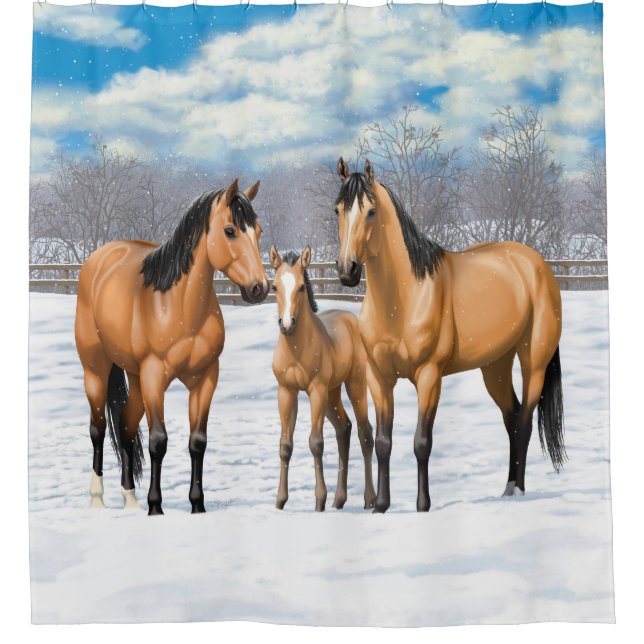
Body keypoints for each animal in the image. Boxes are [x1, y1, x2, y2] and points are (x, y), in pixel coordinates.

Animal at [75, 179, 269, 515]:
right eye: (230, 230)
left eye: (257, 231)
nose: (260, 288)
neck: (177, 306)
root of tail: (98, 258)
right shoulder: (154, 377)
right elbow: (158, 441)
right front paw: (156, 507)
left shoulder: (205, 378)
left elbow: (197, 442)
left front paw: (198, 505)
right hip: (96, 370)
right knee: (98, 429)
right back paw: (98, 498)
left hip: (135, 378)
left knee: (125, 427)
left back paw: (130, 498)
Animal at [269, 245, 376, 512]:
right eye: (274, 286)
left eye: (301, 287)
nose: (287, 324)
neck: (297, 349)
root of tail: (351, 319)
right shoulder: (286, 391)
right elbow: (285, 445)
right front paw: (280, 501)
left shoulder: (315, 390)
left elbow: (315, 442)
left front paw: (319, 501)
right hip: (332, 393)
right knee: (343, 429)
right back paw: (339, 500)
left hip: (354, 385)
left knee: (364, 432)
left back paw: (369, 499)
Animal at [334, 158, 565, 513]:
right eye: (337, 210)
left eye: (371, 211)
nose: (348, 270)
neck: (403, 299)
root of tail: (536, 264)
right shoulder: (378, 378)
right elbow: (384, 441)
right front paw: (381, 506)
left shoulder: (429, 376)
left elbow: (421, 442)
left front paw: (423, 505)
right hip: (495, 367)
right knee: (511, 418)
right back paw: (507, 488)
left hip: (534, 363)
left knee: (525, 422)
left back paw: (519, 492)